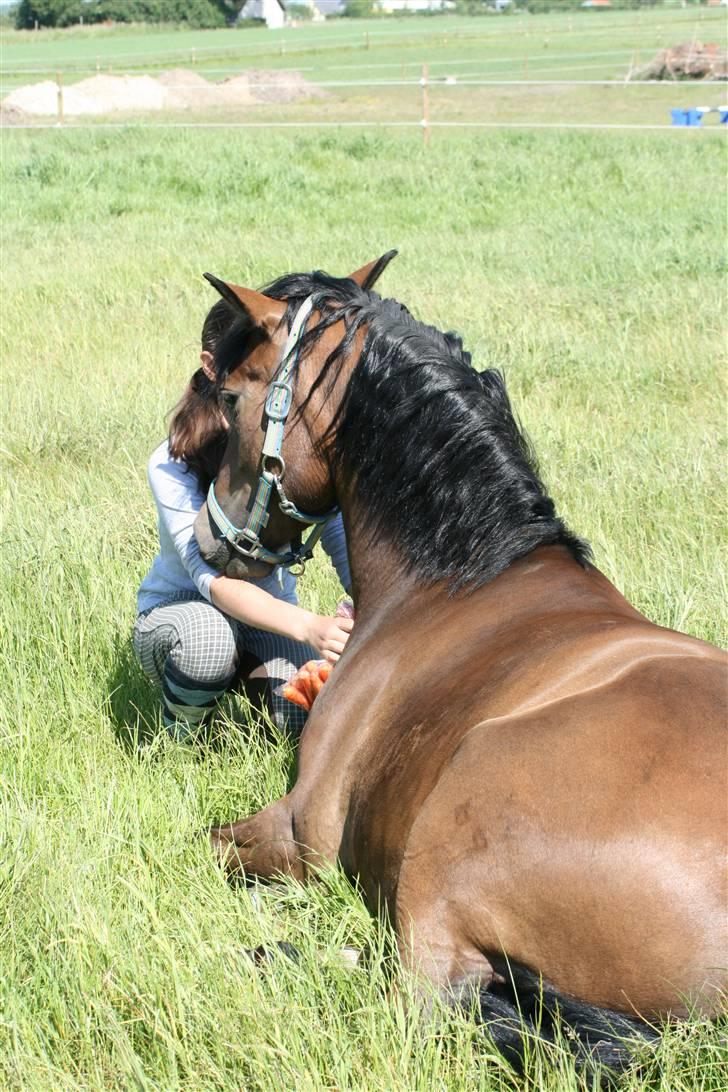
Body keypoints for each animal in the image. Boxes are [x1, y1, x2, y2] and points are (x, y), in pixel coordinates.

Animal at [191, 255, 724, 1065]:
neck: (456, 577)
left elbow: (201, 846)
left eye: (230, 394)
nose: (208, 536)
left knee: (411, 999)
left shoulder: (297, 830)